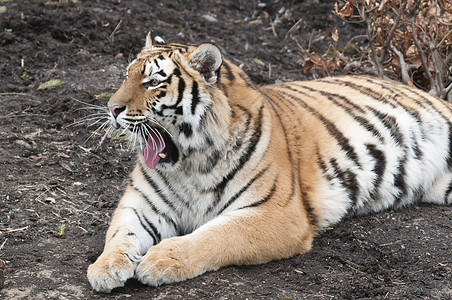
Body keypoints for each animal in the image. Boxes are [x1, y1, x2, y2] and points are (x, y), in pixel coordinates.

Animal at [86, 32, 452, 292]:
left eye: (153, 82)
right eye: (126, 76)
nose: (112, 108)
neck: (189, 165)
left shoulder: (276, 213)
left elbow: (216, 235)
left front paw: (161, 259)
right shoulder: (140, 204)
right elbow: (120, 233)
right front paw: (105, 268)